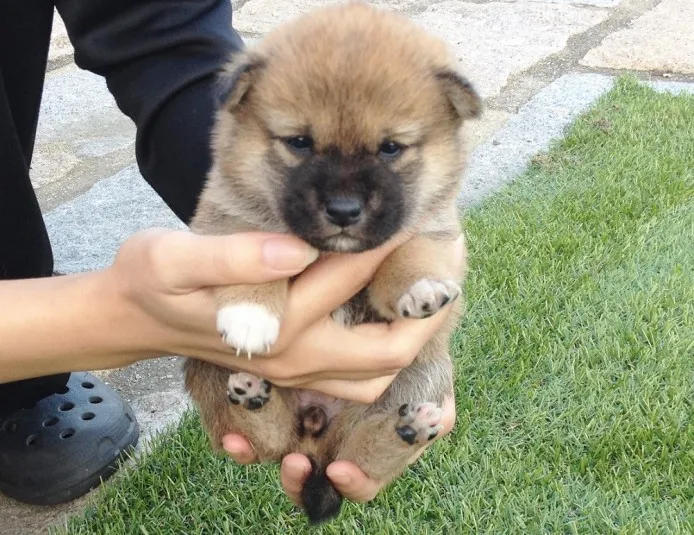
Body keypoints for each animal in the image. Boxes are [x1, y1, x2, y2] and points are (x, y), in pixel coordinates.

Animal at [182, 2, 482, 524]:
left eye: (390, 147)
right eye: (299, 142)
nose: (343, 210)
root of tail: (316, 431)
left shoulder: (427, 232)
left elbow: (407, 257)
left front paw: (420, 287)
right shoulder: (227, 224)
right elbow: (253, 264)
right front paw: (251, 315)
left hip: (421, 376)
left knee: (359, 454)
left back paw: (408, 430)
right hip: (208, 367)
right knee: (266, 439)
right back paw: (253, 396)